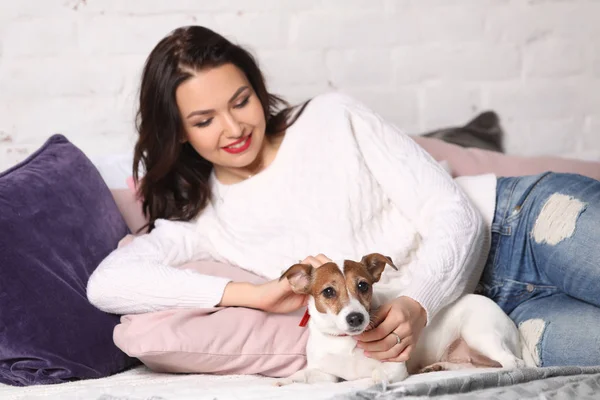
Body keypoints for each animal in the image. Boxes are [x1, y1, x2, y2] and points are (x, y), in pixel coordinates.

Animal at [276, 255, 524, 386]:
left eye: (363, 285)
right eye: (328, 291)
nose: (356, 317)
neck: (345, 340)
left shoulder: (394, 366)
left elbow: (378, 375)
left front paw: (375, 381)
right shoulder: (325, 375)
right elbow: (304, 375)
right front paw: (286, 380)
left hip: (478, 334)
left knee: (512, 363)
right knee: (471, 366)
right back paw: (439, 367)